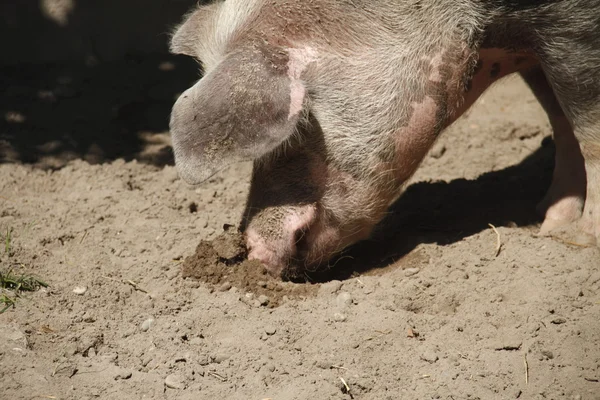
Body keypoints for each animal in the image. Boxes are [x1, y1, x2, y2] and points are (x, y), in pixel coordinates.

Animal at [169, 0, 600, 278]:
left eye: (301, 125)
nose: (256, 254)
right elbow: (558, 118)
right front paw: (547, 223)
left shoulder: (571, 27)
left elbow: (587, 130)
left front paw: (581, 238)